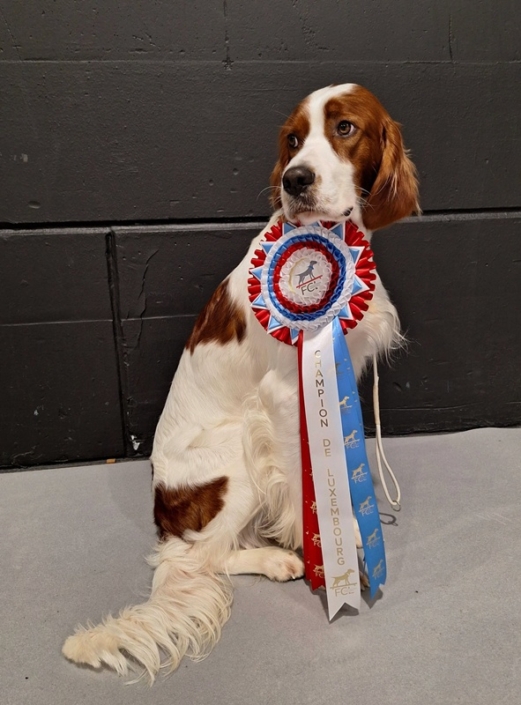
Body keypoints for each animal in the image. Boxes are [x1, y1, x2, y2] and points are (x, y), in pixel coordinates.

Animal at [62, 83, 418, 681]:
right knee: (199, 556)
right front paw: (323, 553)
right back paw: (275, 558)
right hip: (236, 458)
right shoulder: (283, 398)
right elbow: (302, 485)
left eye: (344, 128)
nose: (294, 179)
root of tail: (163, 515)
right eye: (293, 140)